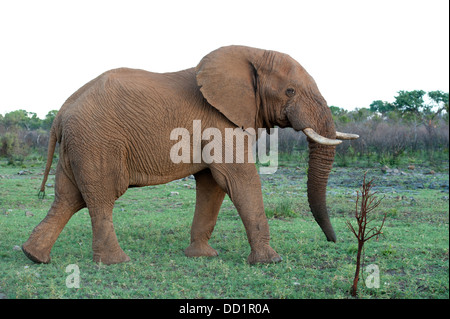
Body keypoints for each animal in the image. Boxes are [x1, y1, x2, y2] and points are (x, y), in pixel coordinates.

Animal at [22, 44, 358, 264]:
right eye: (290, 91)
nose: (333, 241)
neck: (250, 52)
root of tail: (60, 113)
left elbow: (212, 185)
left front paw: (201, 256)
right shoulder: (220, 121)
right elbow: (237, 178)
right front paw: (270, 261)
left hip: (79, 144)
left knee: (68, 198)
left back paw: (34, 256)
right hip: (97, 141)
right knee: (101, 196)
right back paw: (117, 262)